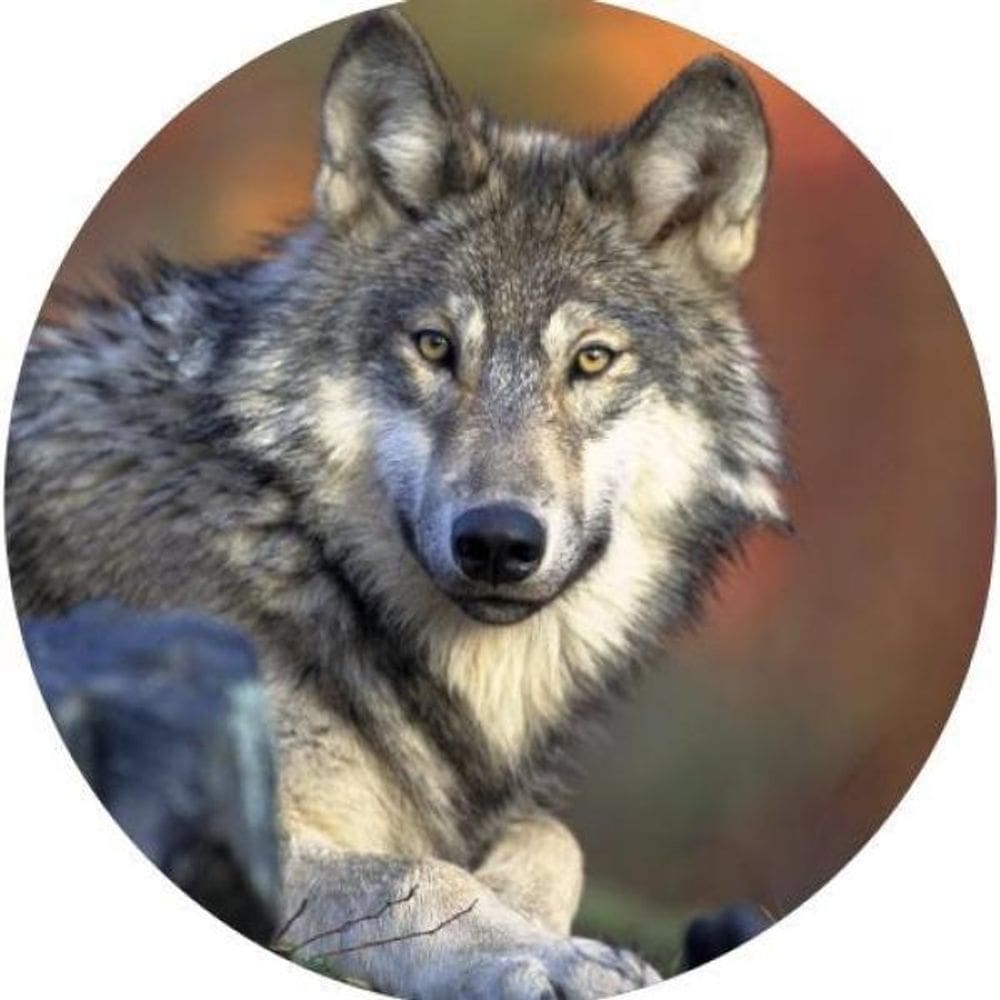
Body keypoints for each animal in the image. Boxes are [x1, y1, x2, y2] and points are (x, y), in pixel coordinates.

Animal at [6, 9, 787, 998]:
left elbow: (551, 836)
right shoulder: (245, 826)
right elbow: (420, 874)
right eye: (435, 346)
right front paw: (546, 951)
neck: (297, 549)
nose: (498, 542)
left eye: (592, 360)